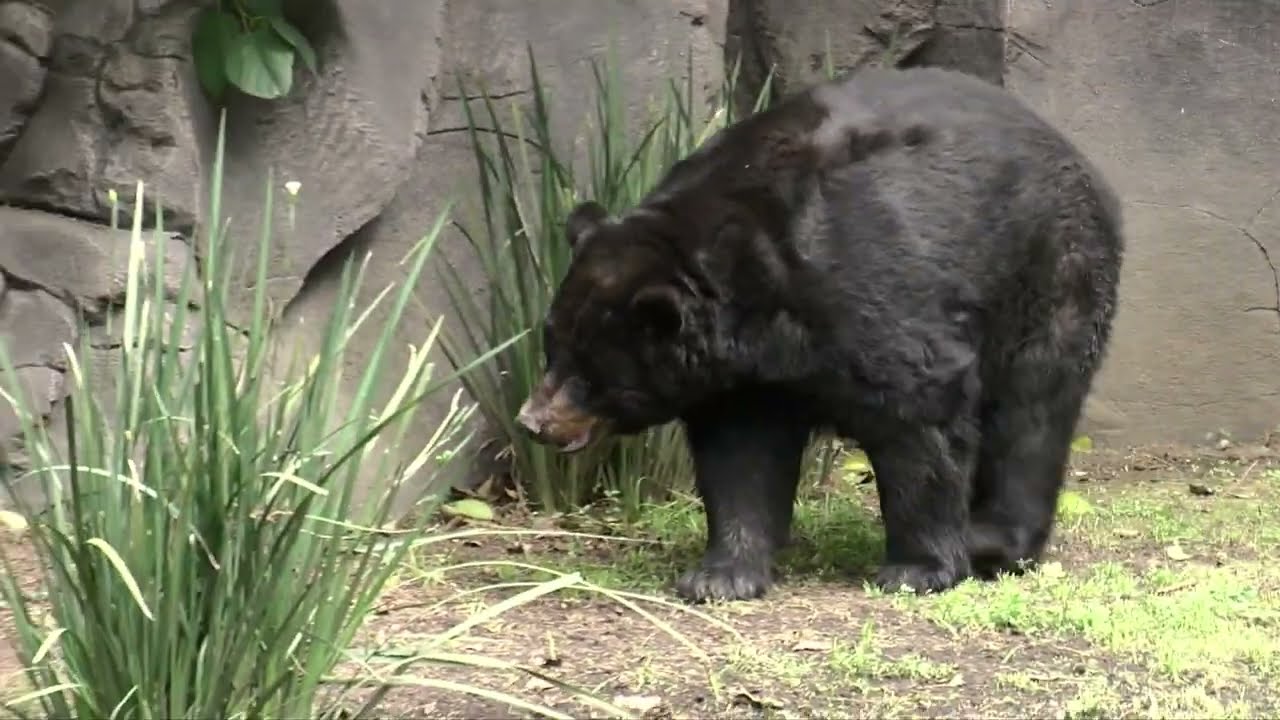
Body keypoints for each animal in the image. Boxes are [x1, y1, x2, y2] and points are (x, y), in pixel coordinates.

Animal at [515, 65, 1124, 604]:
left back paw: (995, 541)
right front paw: (720, 575)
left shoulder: (876, 289)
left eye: (591, 372)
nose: (532, 421)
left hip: (1052, 270)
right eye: (552, 346)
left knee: (1032, 408)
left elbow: (920, 416)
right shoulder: (743, 378)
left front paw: (917, 569)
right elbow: (739, 456)